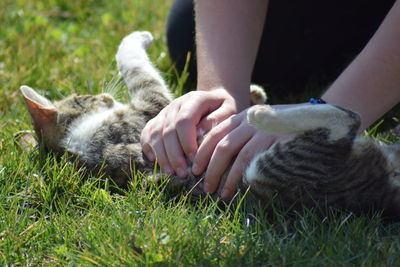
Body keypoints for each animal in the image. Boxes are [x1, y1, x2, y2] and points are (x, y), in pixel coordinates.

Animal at [21, 30, 400, 220]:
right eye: (85, 97)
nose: (103, 94)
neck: (78, 145)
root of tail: (383, 195)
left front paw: (252, 93)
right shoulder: (151, 105)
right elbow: (133, 63)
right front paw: (139, 37)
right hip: (274, 168)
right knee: (344, 121)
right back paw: (265, 116)